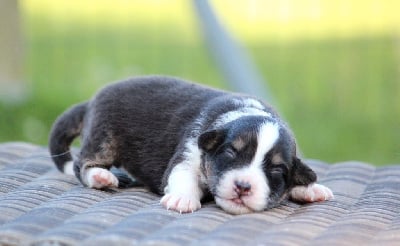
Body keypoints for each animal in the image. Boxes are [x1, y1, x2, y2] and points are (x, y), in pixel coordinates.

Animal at [48, 76, 332, 214]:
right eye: (231, 152)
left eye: (276, 170)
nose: (243, 187)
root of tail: (91, 101)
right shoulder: (187, 154)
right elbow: (183, 176)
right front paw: (183, 199)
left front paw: (310, 188)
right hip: (104, 138)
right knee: (82, 163)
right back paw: (100, 176)